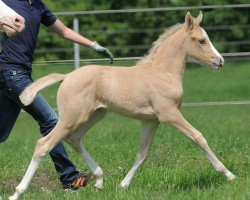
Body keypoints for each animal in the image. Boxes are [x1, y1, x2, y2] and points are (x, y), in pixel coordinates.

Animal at [10, 11, 236, 199]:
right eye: (201, 40)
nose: (220, 61)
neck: (162, 72)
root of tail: (66, 77)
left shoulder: (151, 121)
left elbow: (142, 154)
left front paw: (123, 185)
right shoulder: (169, 114)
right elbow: (198, 136)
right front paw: (229, 174)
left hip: (95, 115)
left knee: (73, 138)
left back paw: (100, 180)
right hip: (71, 117)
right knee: (43, 144)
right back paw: (18, 192)